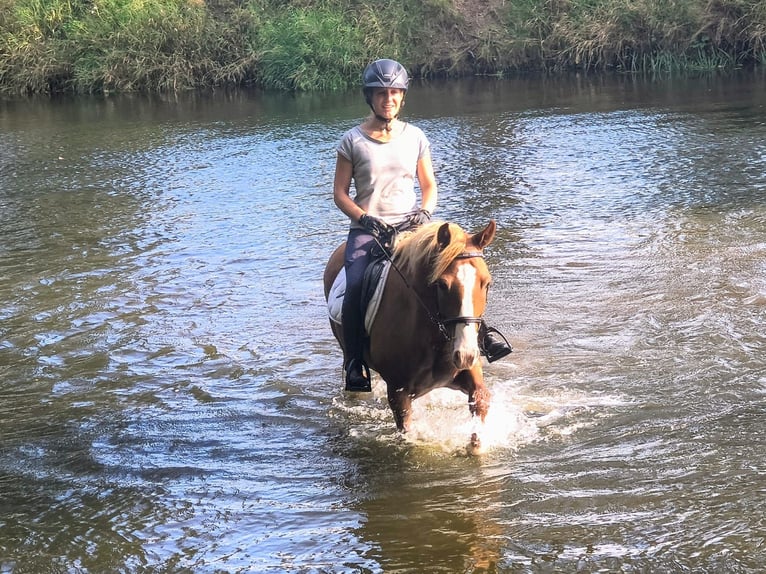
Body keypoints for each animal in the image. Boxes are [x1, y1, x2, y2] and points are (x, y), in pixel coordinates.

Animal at [323, 220, 497, 442]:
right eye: (442, 284)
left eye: (487, 283)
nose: (466, 354)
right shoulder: (399, 393)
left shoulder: (468, 375)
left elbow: (480, 402)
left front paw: (476, 443)